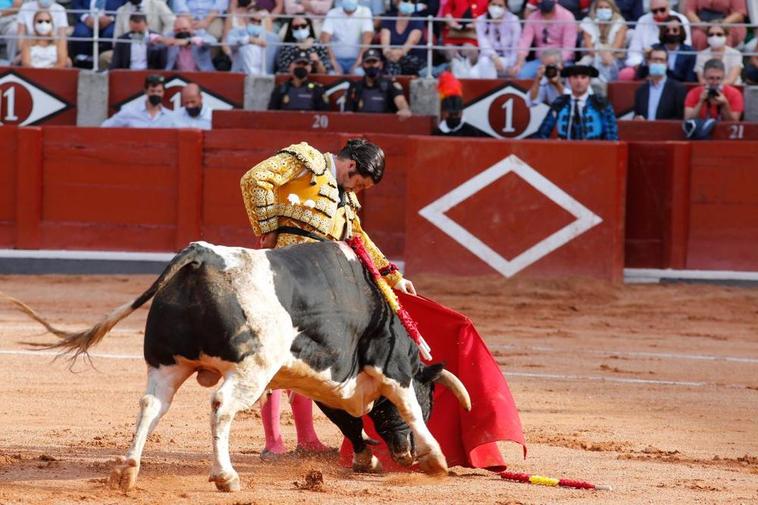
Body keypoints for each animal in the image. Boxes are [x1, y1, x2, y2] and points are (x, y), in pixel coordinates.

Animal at [8, 242, 472, 490]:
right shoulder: (390, 367)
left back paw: (127, 471)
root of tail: (202, 256)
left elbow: (347, 420)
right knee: (221, 407)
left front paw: (367, 460)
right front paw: (435, 460)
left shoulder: (330, 380)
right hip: (251, 369)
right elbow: (405, 408)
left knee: (150, 406)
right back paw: (225, 476)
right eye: (432, 398)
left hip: (165, 365)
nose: (403, 456)